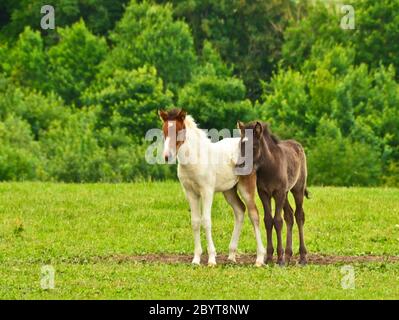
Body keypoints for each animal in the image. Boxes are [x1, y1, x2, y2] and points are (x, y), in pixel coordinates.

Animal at [159, 109, 266, 266]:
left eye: (179, 131)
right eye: (164, 131)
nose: (167, 156)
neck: (194, 159)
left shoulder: (207, 191)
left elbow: (206, 221)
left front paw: (211, 259)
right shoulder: (190, 193)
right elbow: (195, 222)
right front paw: (196, 259)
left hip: (246, 188)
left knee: (254, 214)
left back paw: (259, 258)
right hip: (229, 190)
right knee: (240, 210)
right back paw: (231, 255)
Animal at [239, 120, 310, 264]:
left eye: (254, 146)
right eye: (240, 145)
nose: (241, 166)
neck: (269, 168)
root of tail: (298, 145)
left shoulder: (278, 193)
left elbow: (277, 221)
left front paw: (280, 259)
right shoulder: (264, 194)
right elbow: (268, 220)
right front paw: (270, 257)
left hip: (297, 189)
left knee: (299, 215)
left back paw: (302, 257)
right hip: (286, 194)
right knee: (289, 215)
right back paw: (288, 255)